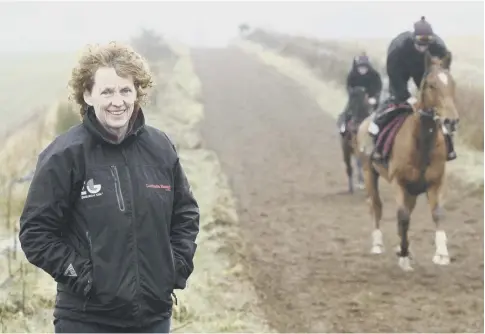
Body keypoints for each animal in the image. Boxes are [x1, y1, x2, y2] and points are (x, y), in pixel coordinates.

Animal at [356, 51, 458, 272]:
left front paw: (442, 254)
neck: (422, 143)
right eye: (431, 85)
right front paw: (403, 255)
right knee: (376, 205)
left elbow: (437, 213)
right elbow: (402, 215)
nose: (451, 121)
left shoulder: (435, 182)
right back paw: (378, 244)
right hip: (369, 172)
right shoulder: (399, 181)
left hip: (412, 189)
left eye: (452, 83)